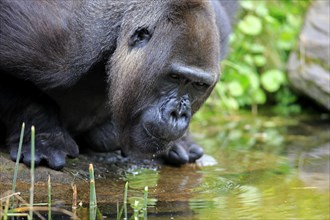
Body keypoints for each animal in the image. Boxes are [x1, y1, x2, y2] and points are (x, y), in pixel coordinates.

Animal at [0, 0, 237, 170]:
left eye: (198, 85)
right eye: (175, 77)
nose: (178, 114)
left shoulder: (221, 25)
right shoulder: (56, 39)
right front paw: (42, 137)